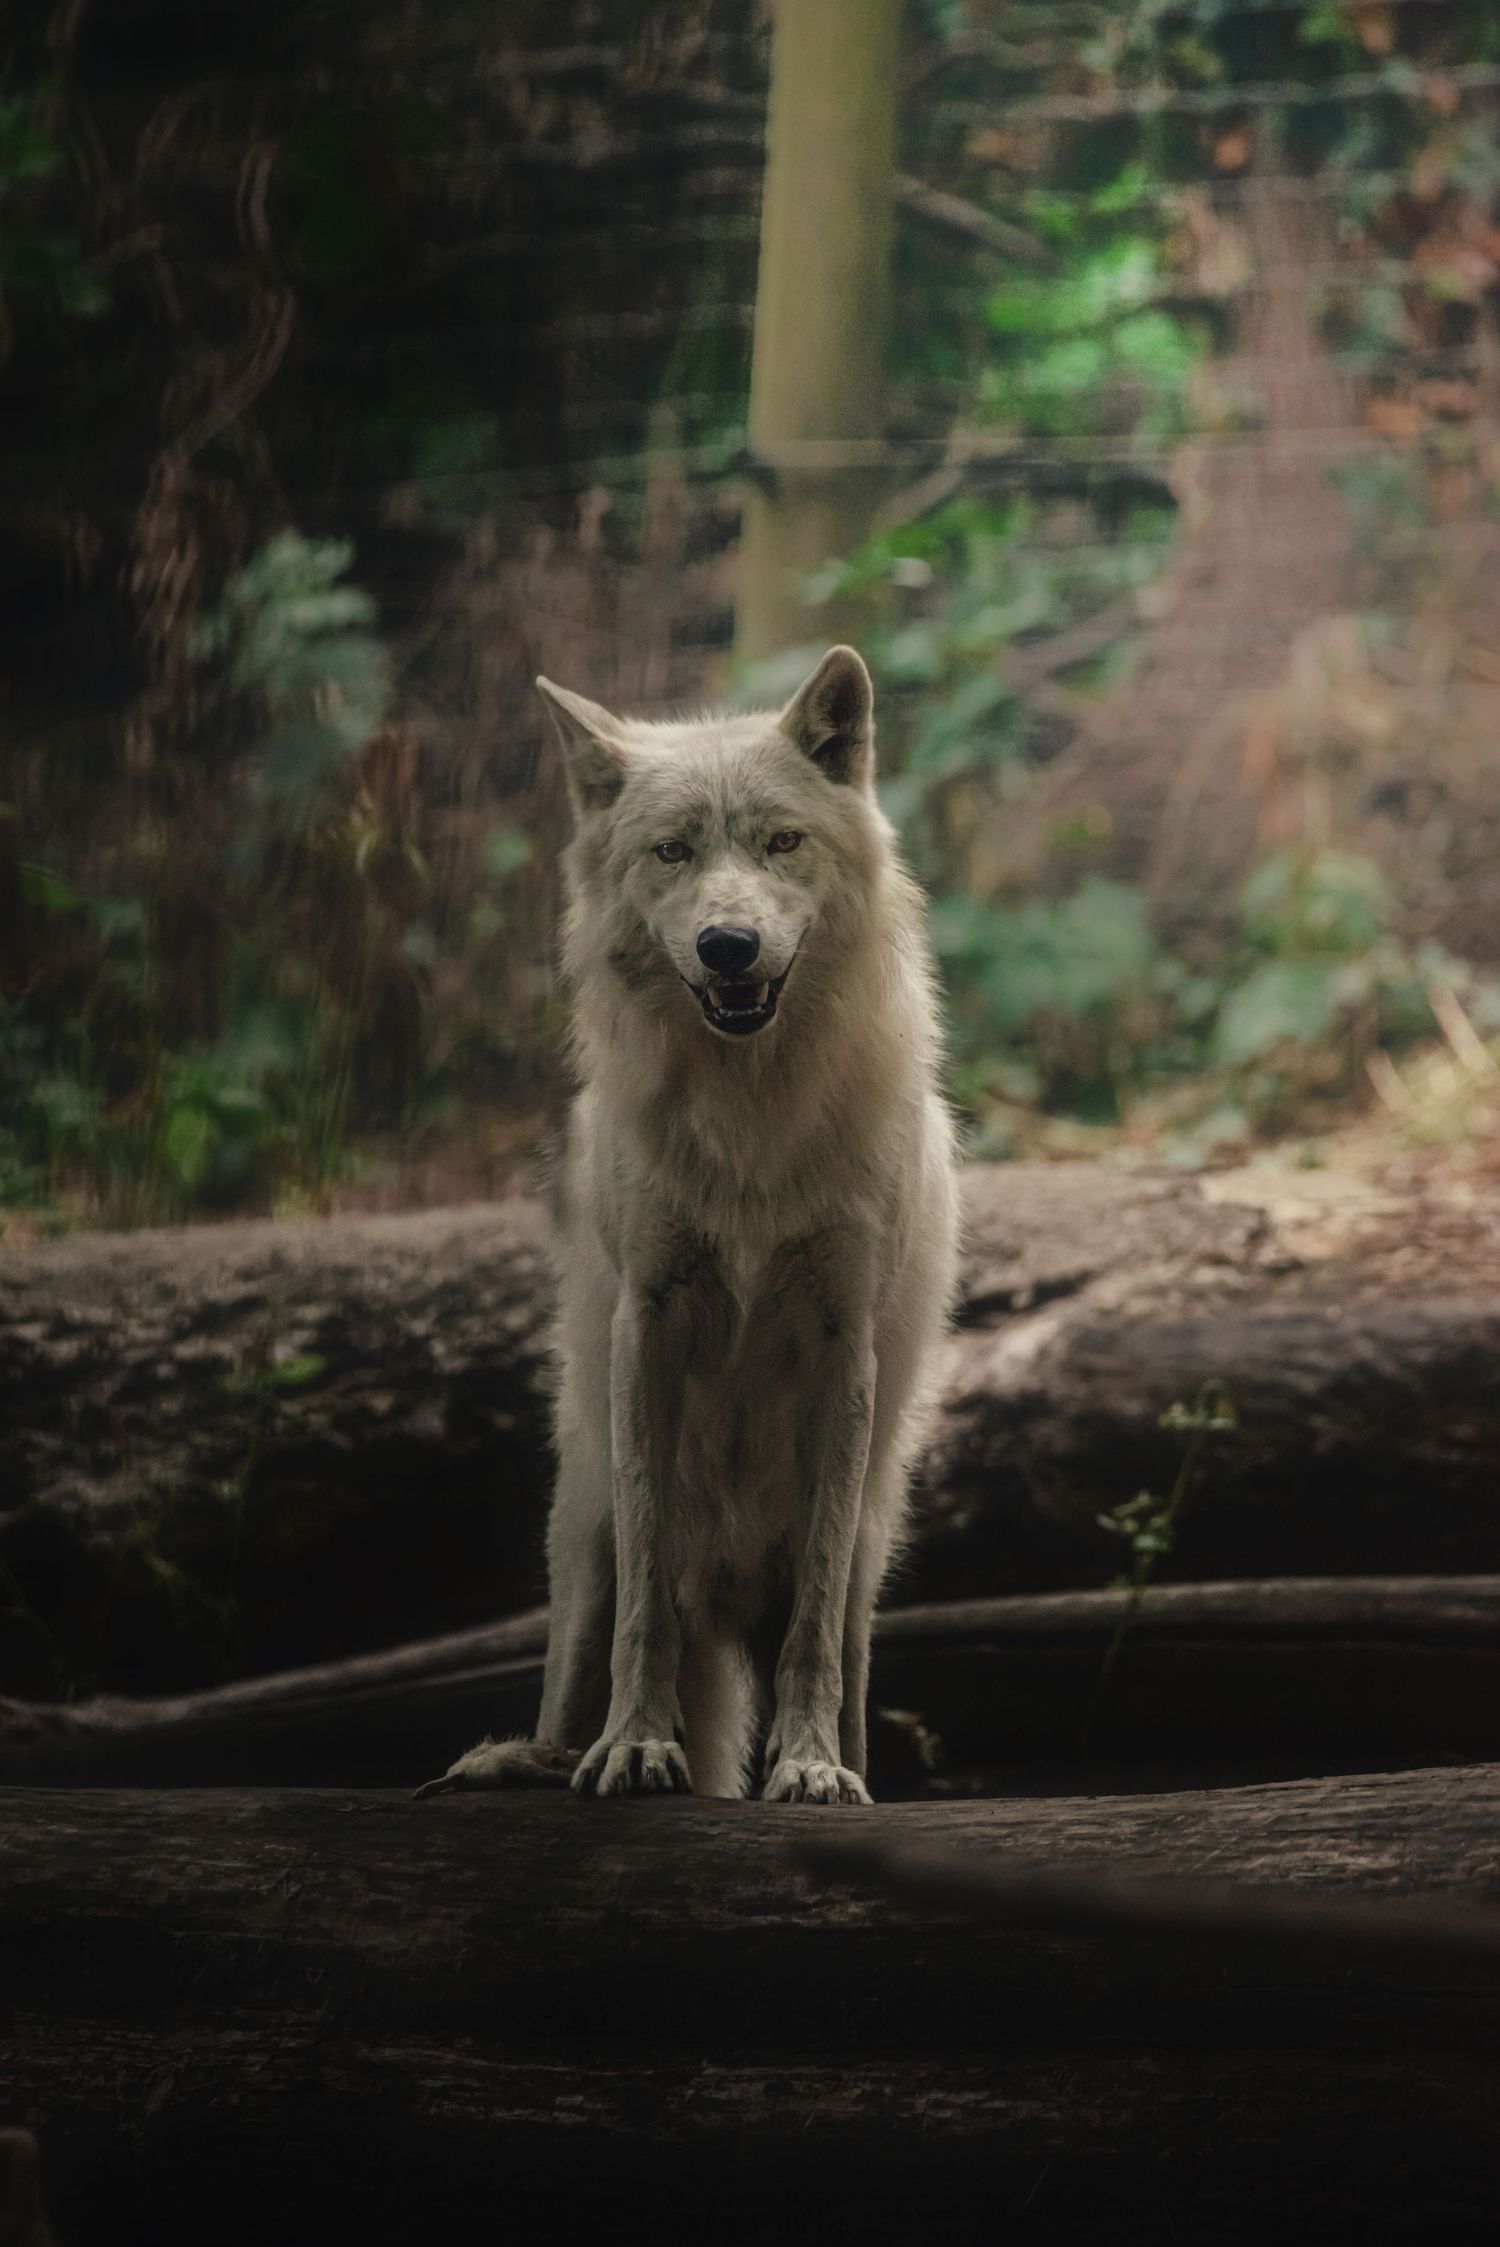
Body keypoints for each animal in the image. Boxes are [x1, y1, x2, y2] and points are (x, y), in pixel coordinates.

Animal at [420, 645, 958, 1803]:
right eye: (672, 851)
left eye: (781, 842)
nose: (728, 946)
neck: (749, 1112)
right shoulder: (649, 1327)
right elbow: (647, 1600)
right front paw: (636, 1748)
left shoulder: (844, 1347)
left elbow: (809, 1632)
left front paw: (808, 1768)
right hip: (582, 1545)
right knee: (588, 1660)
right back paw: (532, 1761)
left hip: (869, 1549)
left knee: (839, 1640)